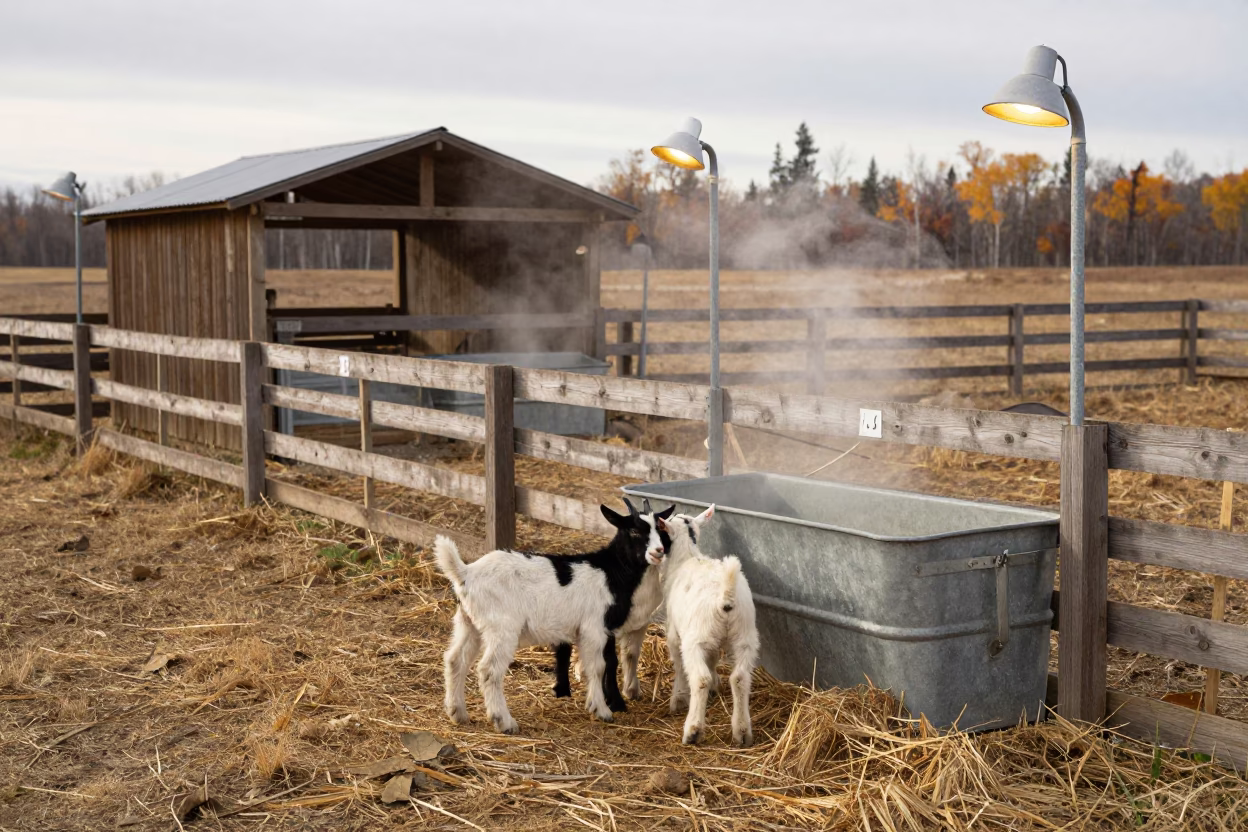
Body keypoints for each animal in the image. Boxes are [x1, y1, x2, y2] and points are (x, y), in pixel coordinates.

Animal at [435, 499, 671, 735]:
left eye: (659, 529)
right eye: (634, 531)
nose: (659, 551)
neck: (610, 572)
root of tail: (465, 573)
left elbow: (590, 667)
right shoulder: (594, 628)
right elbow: (598, 667)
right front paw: (602, 710)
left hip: (468, 623)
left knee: (455, 660)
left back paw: (458, 713)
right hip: (501, 628)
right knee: (489, 670)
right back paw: (504, 722)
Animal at [656, 505, 759, 747]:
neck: (688, 556)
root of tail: (725, 597)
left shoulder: (674, 633)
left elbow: (679, 665)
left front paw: (678, 699)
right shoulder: (712, 642)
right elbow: (712, 661)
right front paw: (714, 687)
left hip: (696, 638)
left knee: (700, 678)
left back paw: (693, 730)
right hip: (745, 636)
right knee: (740, 678)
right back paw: (742, 732)